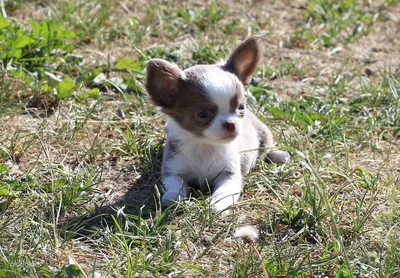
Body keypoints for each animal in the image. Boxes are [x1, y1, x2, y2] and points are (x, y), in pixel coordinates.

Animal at [145, 35, 290, 212]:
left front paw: (216, 205)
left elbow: (223, 192)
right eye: (202, 115)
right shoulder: (173, 170)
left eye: (241, 107)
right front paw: (172, 197)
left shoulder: (229, 175)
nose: (231, 123)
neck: (204, 146)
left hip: (264, 133)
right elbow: (175, 185)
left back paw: (280, 155)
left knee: (268, 148)